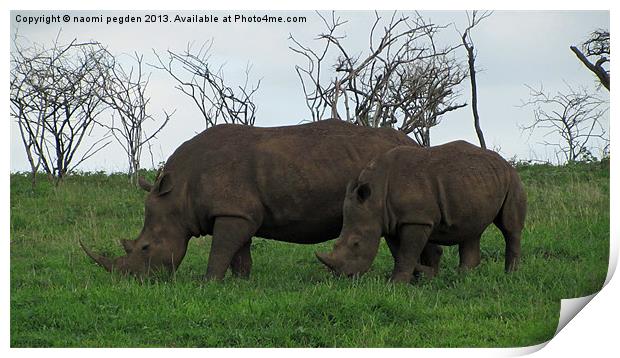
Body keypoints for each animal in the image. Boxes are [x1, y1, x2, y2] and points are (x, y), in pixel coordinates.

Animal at [81, 119, 440, 280]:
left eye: (144, 248)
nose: (128, 280)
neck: (179, 194)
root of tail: (414, 142)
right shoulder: (239, 213)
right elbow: (239, 253)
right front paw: (241, 284)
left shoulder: (231, 213)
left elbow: (220, 251)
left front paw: (208, 283)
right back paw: (426, 279)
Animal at [318, 141, 524, 284]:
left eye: (356, 243)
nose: (344, 277)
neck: (376, 196)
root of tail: (504, 162)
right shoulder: (390, 221)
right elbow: (399, 252)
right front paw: (425, 275)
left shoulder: (416, 219)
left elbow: (407, 252)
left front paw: (395, 285)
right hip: (477, 183)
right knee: (472, 228)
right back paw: (462, 278)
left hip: (512, 179)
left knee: (509, 228)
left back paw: (510, 276)